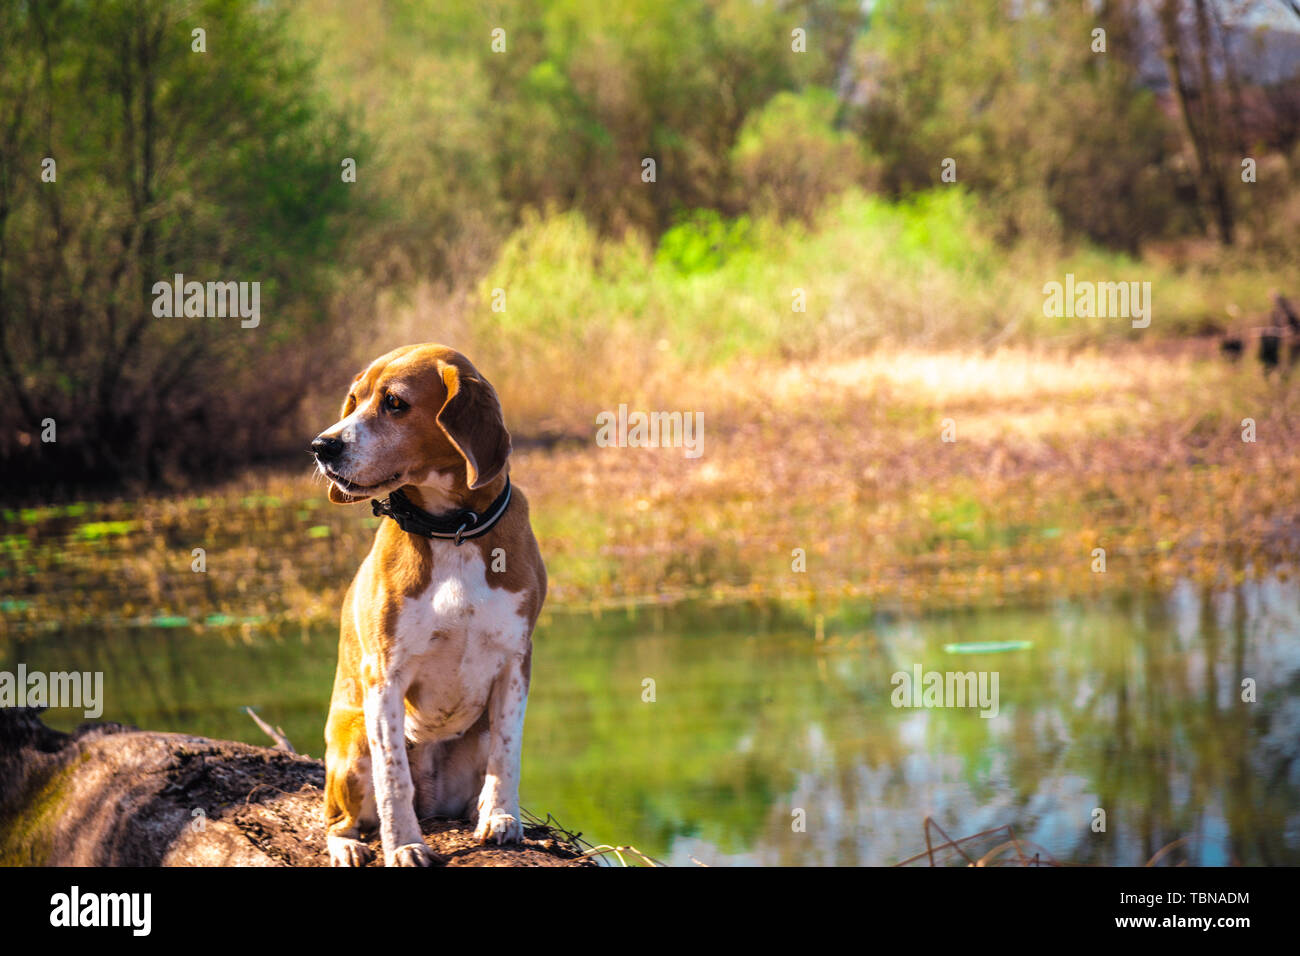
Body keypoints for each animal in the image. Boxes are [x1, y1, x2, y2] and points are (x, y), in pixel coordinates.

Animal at [315, 345, 548, 868]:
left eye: (394, 403)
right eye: (354, 400)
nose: (321, 446)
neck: (453, 529)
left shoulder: (515, 662)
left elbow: (509, 752)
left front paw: (502, 816)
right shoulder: (385, 674)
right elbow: (392, 779)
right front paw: (403, 844)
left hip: (475, 733)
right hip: (354, 735)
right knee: (336, 819)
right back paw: (347, 845)